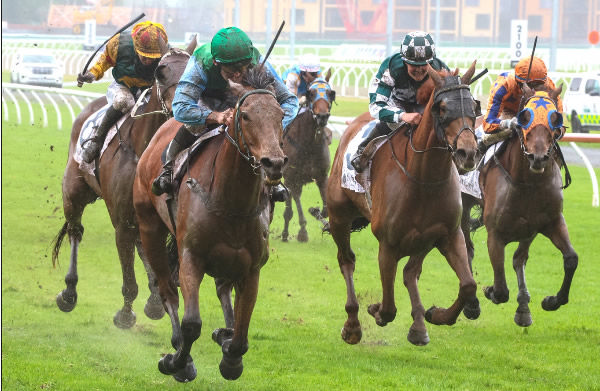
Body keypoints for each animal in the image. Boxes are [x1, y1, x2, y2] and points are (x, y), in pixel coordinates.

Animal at [51, 43, 196, 330]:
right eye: (161, 72)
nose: (181, 109)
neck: (142, 149)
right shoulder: (122, 222)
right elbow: (129, 280)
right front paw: (126, 314)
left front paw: (155, 299)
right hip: (73, 190)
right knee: (75, 231)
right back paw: (69, 292)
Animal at [134, 68, 288, 382]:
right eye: (245, 116)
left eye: (280, 115)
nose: (273, 163)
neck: (232, 202)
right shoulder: (191, 256)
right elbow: (192, 322)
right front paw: (177, 363)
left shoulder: (252, 267)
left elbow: (242, 331)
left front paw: (231, 357)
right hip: (149, 227)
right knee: (167, 290)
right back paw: (178, 345)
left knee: (222, 290)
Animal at [280, 72, 336, 242]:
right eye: (310, 93)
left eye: (331, 93)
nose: (322, 116)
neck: (309, 146)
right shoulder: (292, 178)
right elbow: (294, 204)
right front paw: (302, 232)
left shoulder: (322, 176)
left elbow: (325, 209)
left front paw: (316, 211)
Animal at [326, 62, 480, 348]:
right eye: (442, 108)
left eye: (474, 106)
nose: (468, 153)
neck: (424, 178)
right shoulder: (388, 243)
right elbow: (388, 308)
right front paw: (375, 310)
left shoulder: (447, 234)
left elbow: (468, 285)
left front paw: (437, 315)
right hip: (338, 216)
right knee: (347, 260)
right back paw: (352, 324)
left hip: (423, 238)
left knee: (411, 272)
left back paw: (419, 326)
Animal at [460, 83, 576, 328]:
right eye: (524, 117)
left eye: (556, 117)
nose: (538, 157)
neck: (529, 183)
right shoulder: (495, 234)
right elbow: (501, 289)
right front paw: (489, 291)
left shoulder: (546, 223)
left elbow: (570, 259)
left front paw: (550, 301)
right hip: (462, 206)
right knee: (467, 249)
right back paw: (471, 304)